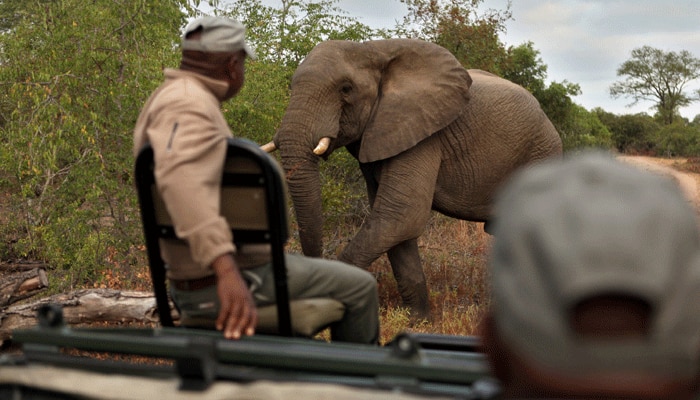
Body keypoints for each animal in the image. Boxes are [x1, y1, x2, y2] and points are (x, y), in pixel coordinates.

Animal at [264, 39, 564, 320]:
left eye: (346, 89)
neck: (373, 50)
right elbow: (393, 223)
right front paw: (417, 320)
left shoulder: (424, 135)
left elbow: (402, 214)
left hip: (541, 154)